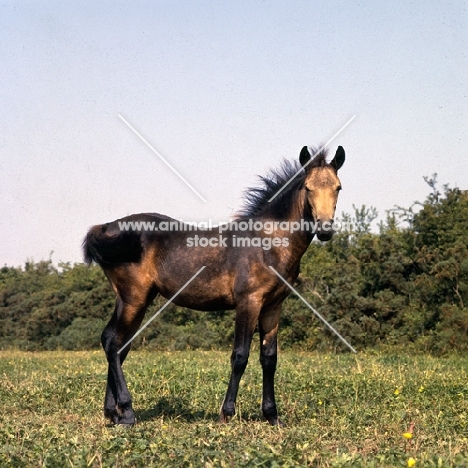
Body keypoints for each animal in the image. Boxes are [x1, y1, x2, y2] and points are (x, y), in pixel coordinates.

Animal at [83, 144, 344, 426]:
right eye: (308, 187)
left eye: (338, 187)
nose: (325, 229)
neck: (267, 243)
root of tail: (106, 228)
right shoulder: (248, 302)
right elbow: (240, 356)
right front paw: (226, 413)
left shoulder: (273, 306)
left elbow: (269, 358)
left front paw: (272, 416)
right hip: (133, 298)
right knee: (112, 342)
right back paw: (127, 412)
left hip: (135, 300)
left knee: (118, 344)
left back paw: (113, 413)